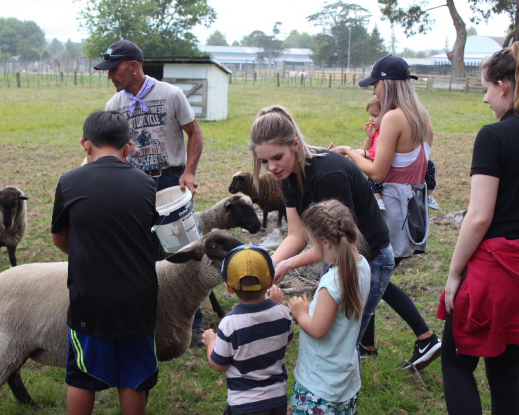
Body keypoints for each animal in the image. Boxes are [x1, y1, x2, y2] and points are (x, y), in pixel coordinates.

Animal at [0, 231, 244, 410]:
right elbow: (142, 392)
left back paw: (32, 406)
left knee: (14, 377)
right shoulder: (147, 353)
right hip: (9, 344)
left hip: (17, 345)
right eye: (214, 247)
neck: (172, 284)